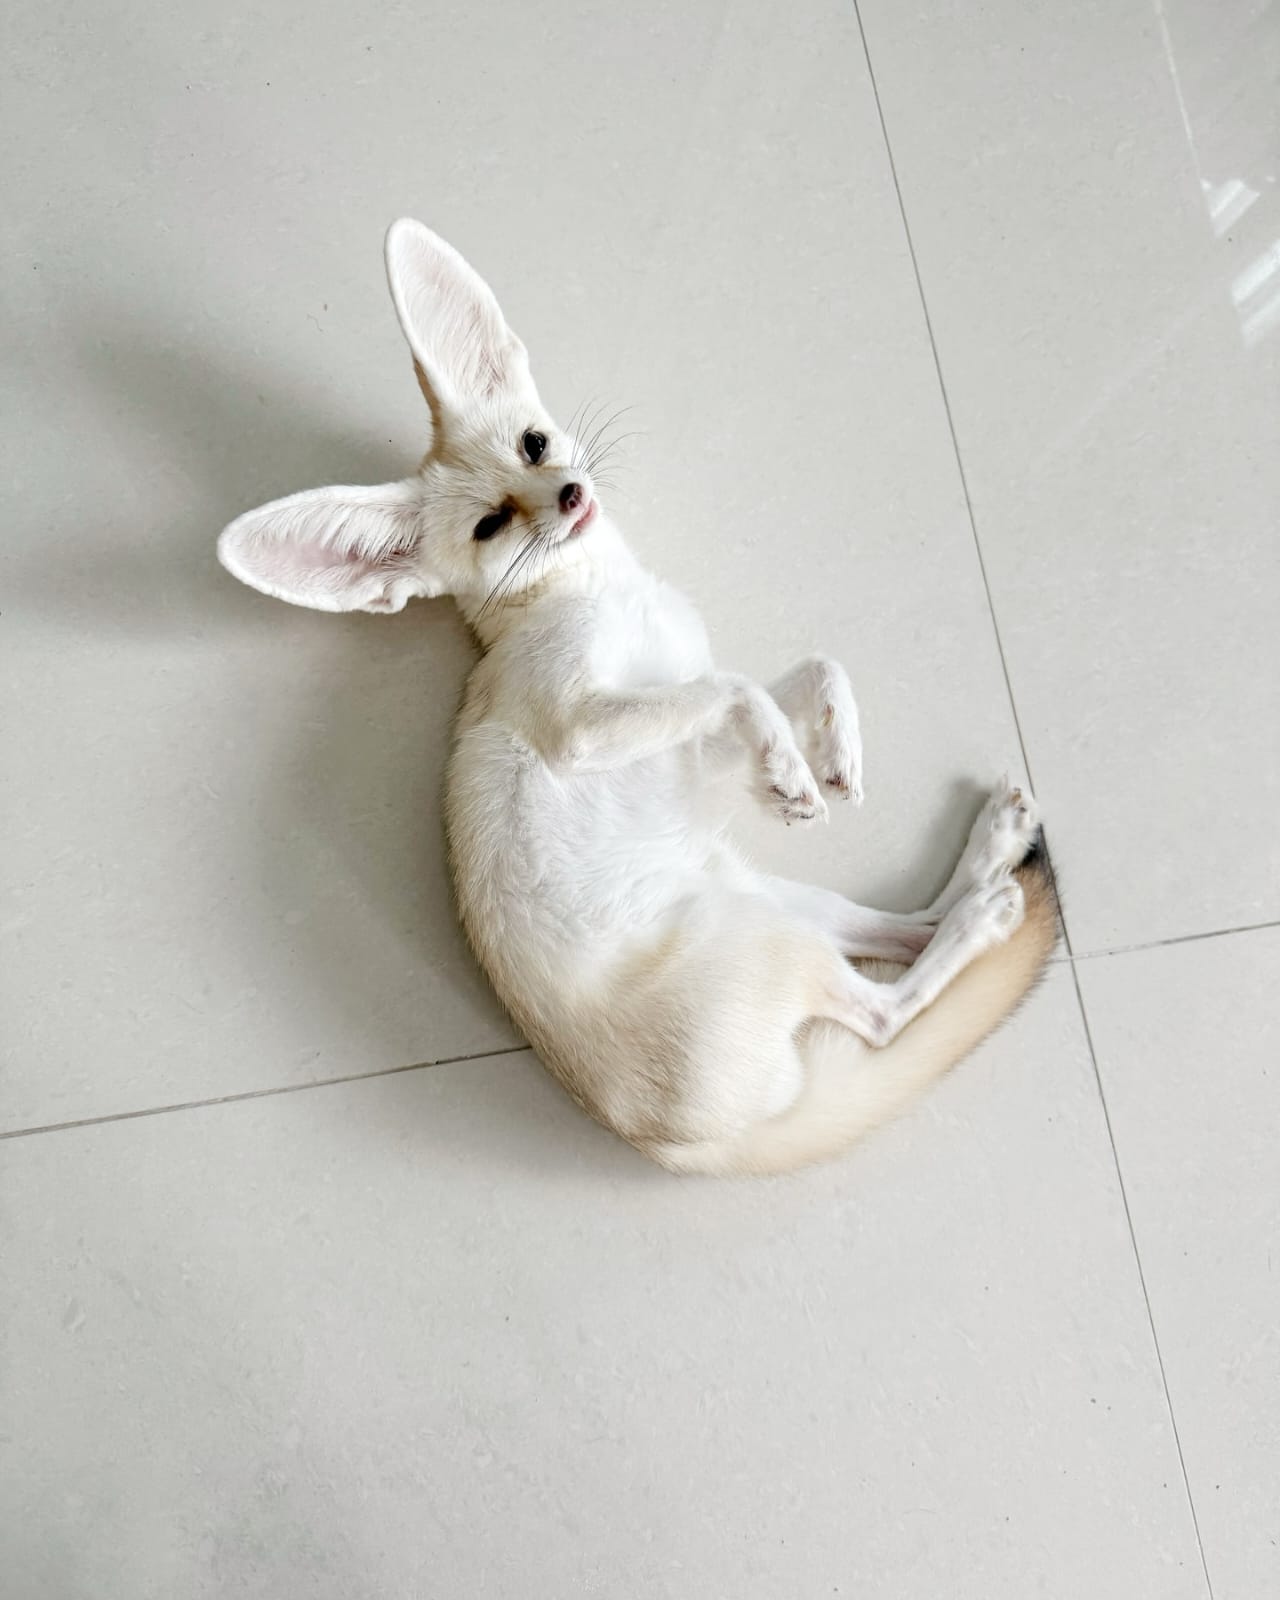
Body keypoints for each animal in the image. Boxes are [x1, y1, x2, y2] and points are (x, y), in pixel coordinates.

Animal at [218, 219, 1057, 1176]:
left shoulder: (691, 731)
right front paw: (790, 760)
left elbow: (811, 668)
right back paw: (985, 918)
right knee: (886, 1009)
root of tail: (696, 1146)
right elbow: (736, 690)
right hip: (775, 939)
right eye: (491, 526)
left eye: (535, 445)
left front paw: (834, 744)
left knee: (903, 925)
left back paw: (993, 863)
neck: (584, 591)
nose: (571, 493)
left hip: (772, 899)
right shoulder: (586, 725)